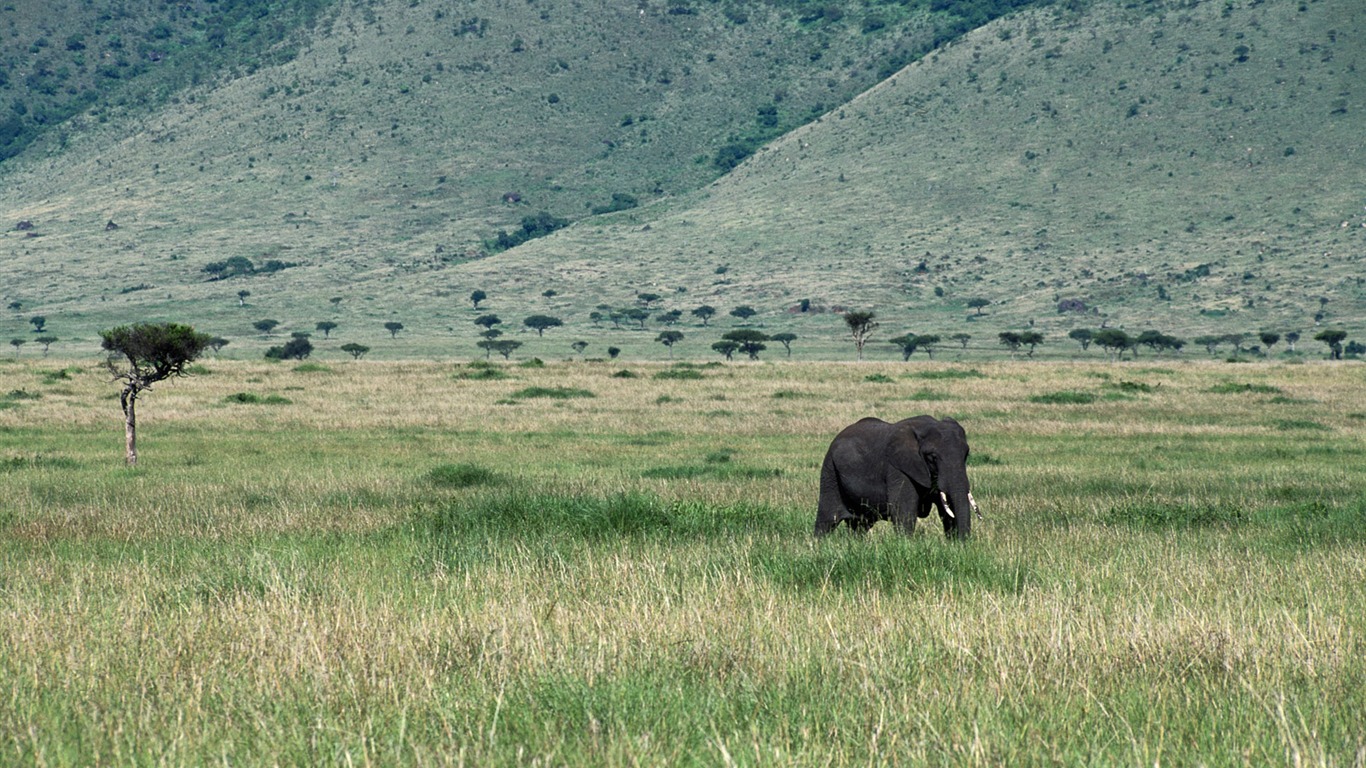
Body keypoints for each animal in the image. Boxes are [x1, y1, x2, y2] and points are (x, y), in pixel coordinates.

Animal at [808, 415, 983, 535]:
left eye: (966, 454)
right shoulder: (898, 469)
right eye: (932, 457)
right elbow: (904, 511)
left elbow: (947, 509)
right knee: (828, 518)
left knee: (860, 525)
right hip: (830, 470)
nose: (963, 544)